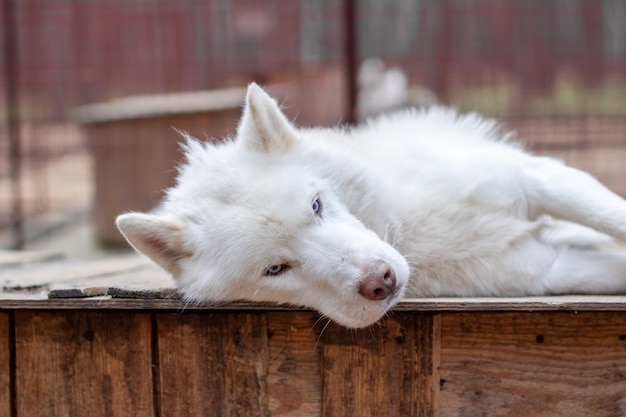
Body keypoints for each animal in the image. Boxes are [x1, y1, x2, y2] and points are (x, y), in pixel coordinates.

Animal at [116, 82, 624, 328]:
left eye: (317, 205)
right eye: (275, 269)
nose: (381, 282)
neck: (407, 224)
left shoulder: (537, 179)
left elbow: (614, 217)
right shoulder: (550, 269)